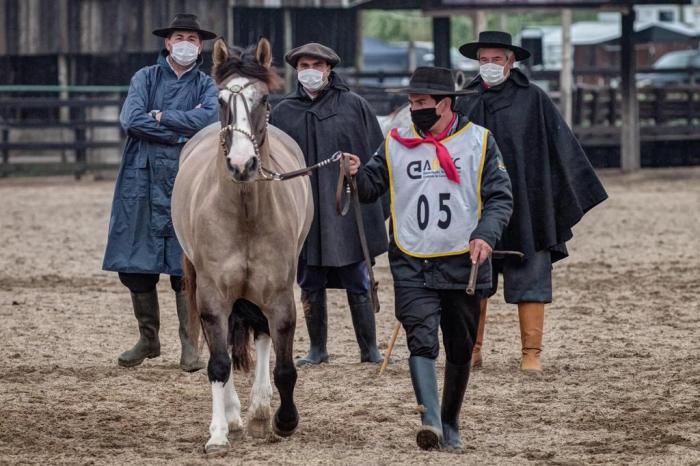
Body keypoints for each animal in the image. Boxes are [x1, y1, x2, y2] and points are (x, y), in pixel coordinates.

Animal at [170, 39, 312, 456]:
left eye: (263, 99)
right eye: (220, 100)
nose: (241, 163)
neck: (245, 212)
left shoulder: (279, 293)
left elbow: (284, 366)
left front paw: (282, 420)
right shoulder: (213, 295)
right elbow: (218, 363)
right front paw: (217, 433)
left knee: (261, 334)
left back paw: (260, 412)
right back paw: (233, 415)